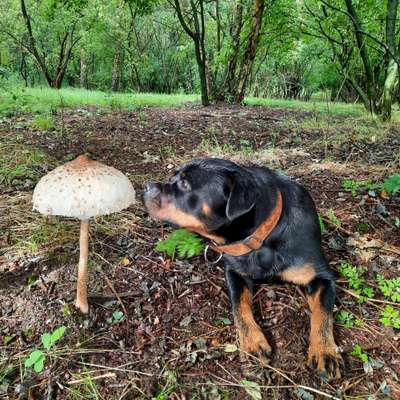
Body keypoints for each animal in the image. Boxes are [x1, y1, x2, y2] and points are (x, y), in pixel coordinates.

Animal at [144, 158, 344, 380]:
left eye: (185, 184)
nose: (147, 186)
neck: (262, 238)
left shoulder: (322, 276)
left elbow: (322, 315)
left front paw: (324, 350)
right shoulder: (235, 273)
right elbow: (239, 306)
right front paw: (252, 341)